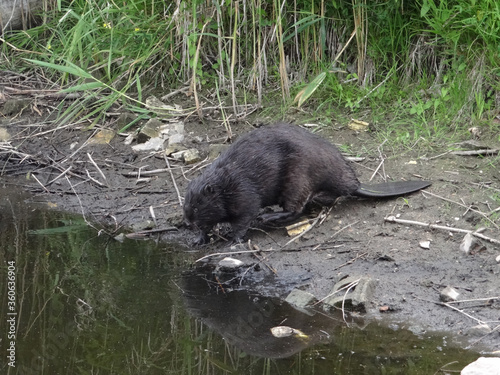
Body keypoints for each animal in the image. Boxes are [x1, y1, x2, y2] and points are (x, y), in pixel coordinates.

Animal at [183, 124, 430, 247]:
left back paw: (268, 216)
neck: (223, 182)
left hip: (298, 177)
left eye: (196, 206)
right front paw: (198, 239)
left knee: (295, 209)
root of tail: (355, 184)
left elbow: (244, 217)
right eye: (186, 204)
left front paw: (234, 239)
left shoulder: (243, 192)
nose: (187, 222)